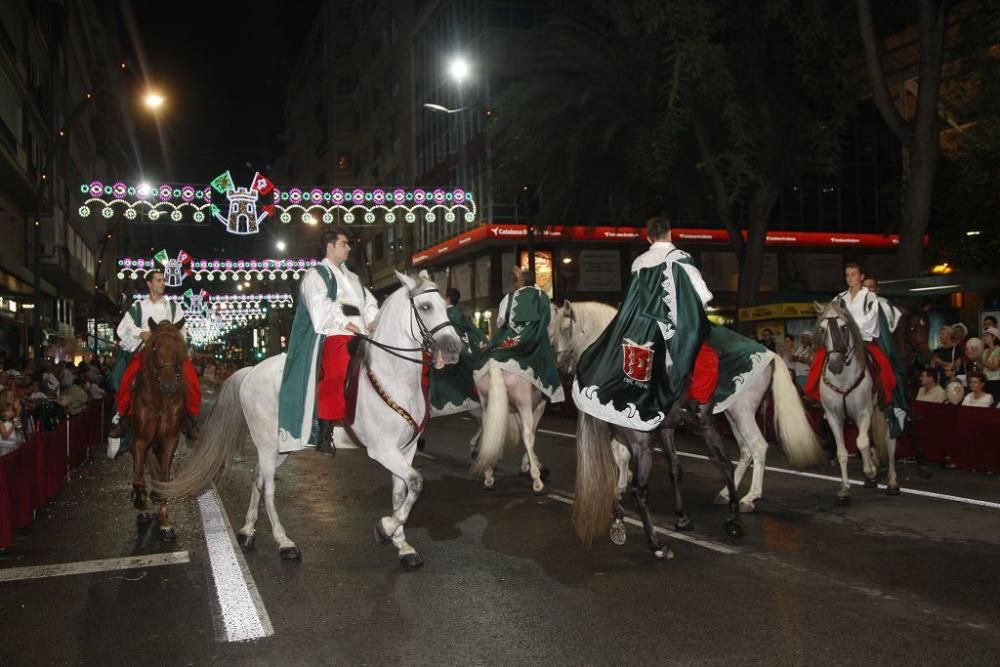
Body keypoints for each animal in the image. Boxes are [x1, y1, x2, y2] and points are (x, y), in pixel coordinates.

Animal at [153, 272, 464, 568]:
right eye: (425, 307)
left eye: (444, 305)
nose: (454, 349)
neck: (393, 376)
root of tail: (251, 370)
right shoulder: (382, 450)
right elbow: (416, 483)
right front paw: (385, 528)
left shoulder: (405, 450)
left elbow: (402, 491)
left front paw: (402, 545)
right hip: (267, 444)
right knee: (269, 488)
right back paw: (284, 542)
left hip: (280, 449)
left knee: (258, 479)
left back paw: (248, 532)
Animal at [816, 300, 896, 504]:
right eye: (822, 329)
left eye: (844, 327)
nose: (835, 364)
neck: (842, 378)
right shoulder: (834, 417)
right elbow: (842, 452)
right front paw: (844, 490)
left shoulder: (864, 413)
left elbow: (861, 443)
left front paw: (870, 471)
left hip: (887, 410)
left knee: (890, 443)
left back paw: (892, 483)